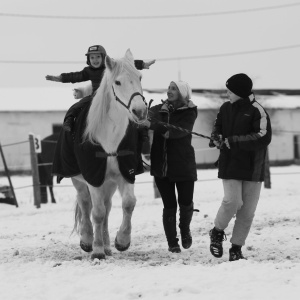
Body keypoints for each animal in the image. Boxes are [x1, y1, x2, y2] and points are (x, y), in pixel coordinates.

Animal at [72, 49, 149, 260]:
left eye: (140, 77)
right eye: (118, 82)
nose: (140, 111)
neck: (110, 138)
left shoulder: (125, 173)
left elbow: (128, 204)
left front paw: (121, 241)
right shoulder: (92, 177)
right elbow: (96, 212)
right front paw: (96, 250)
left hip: (109, 183)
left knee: (106, 208)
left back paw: (106, 245)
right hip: (80, 182)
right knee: (85, 204)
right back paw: (88, 240)